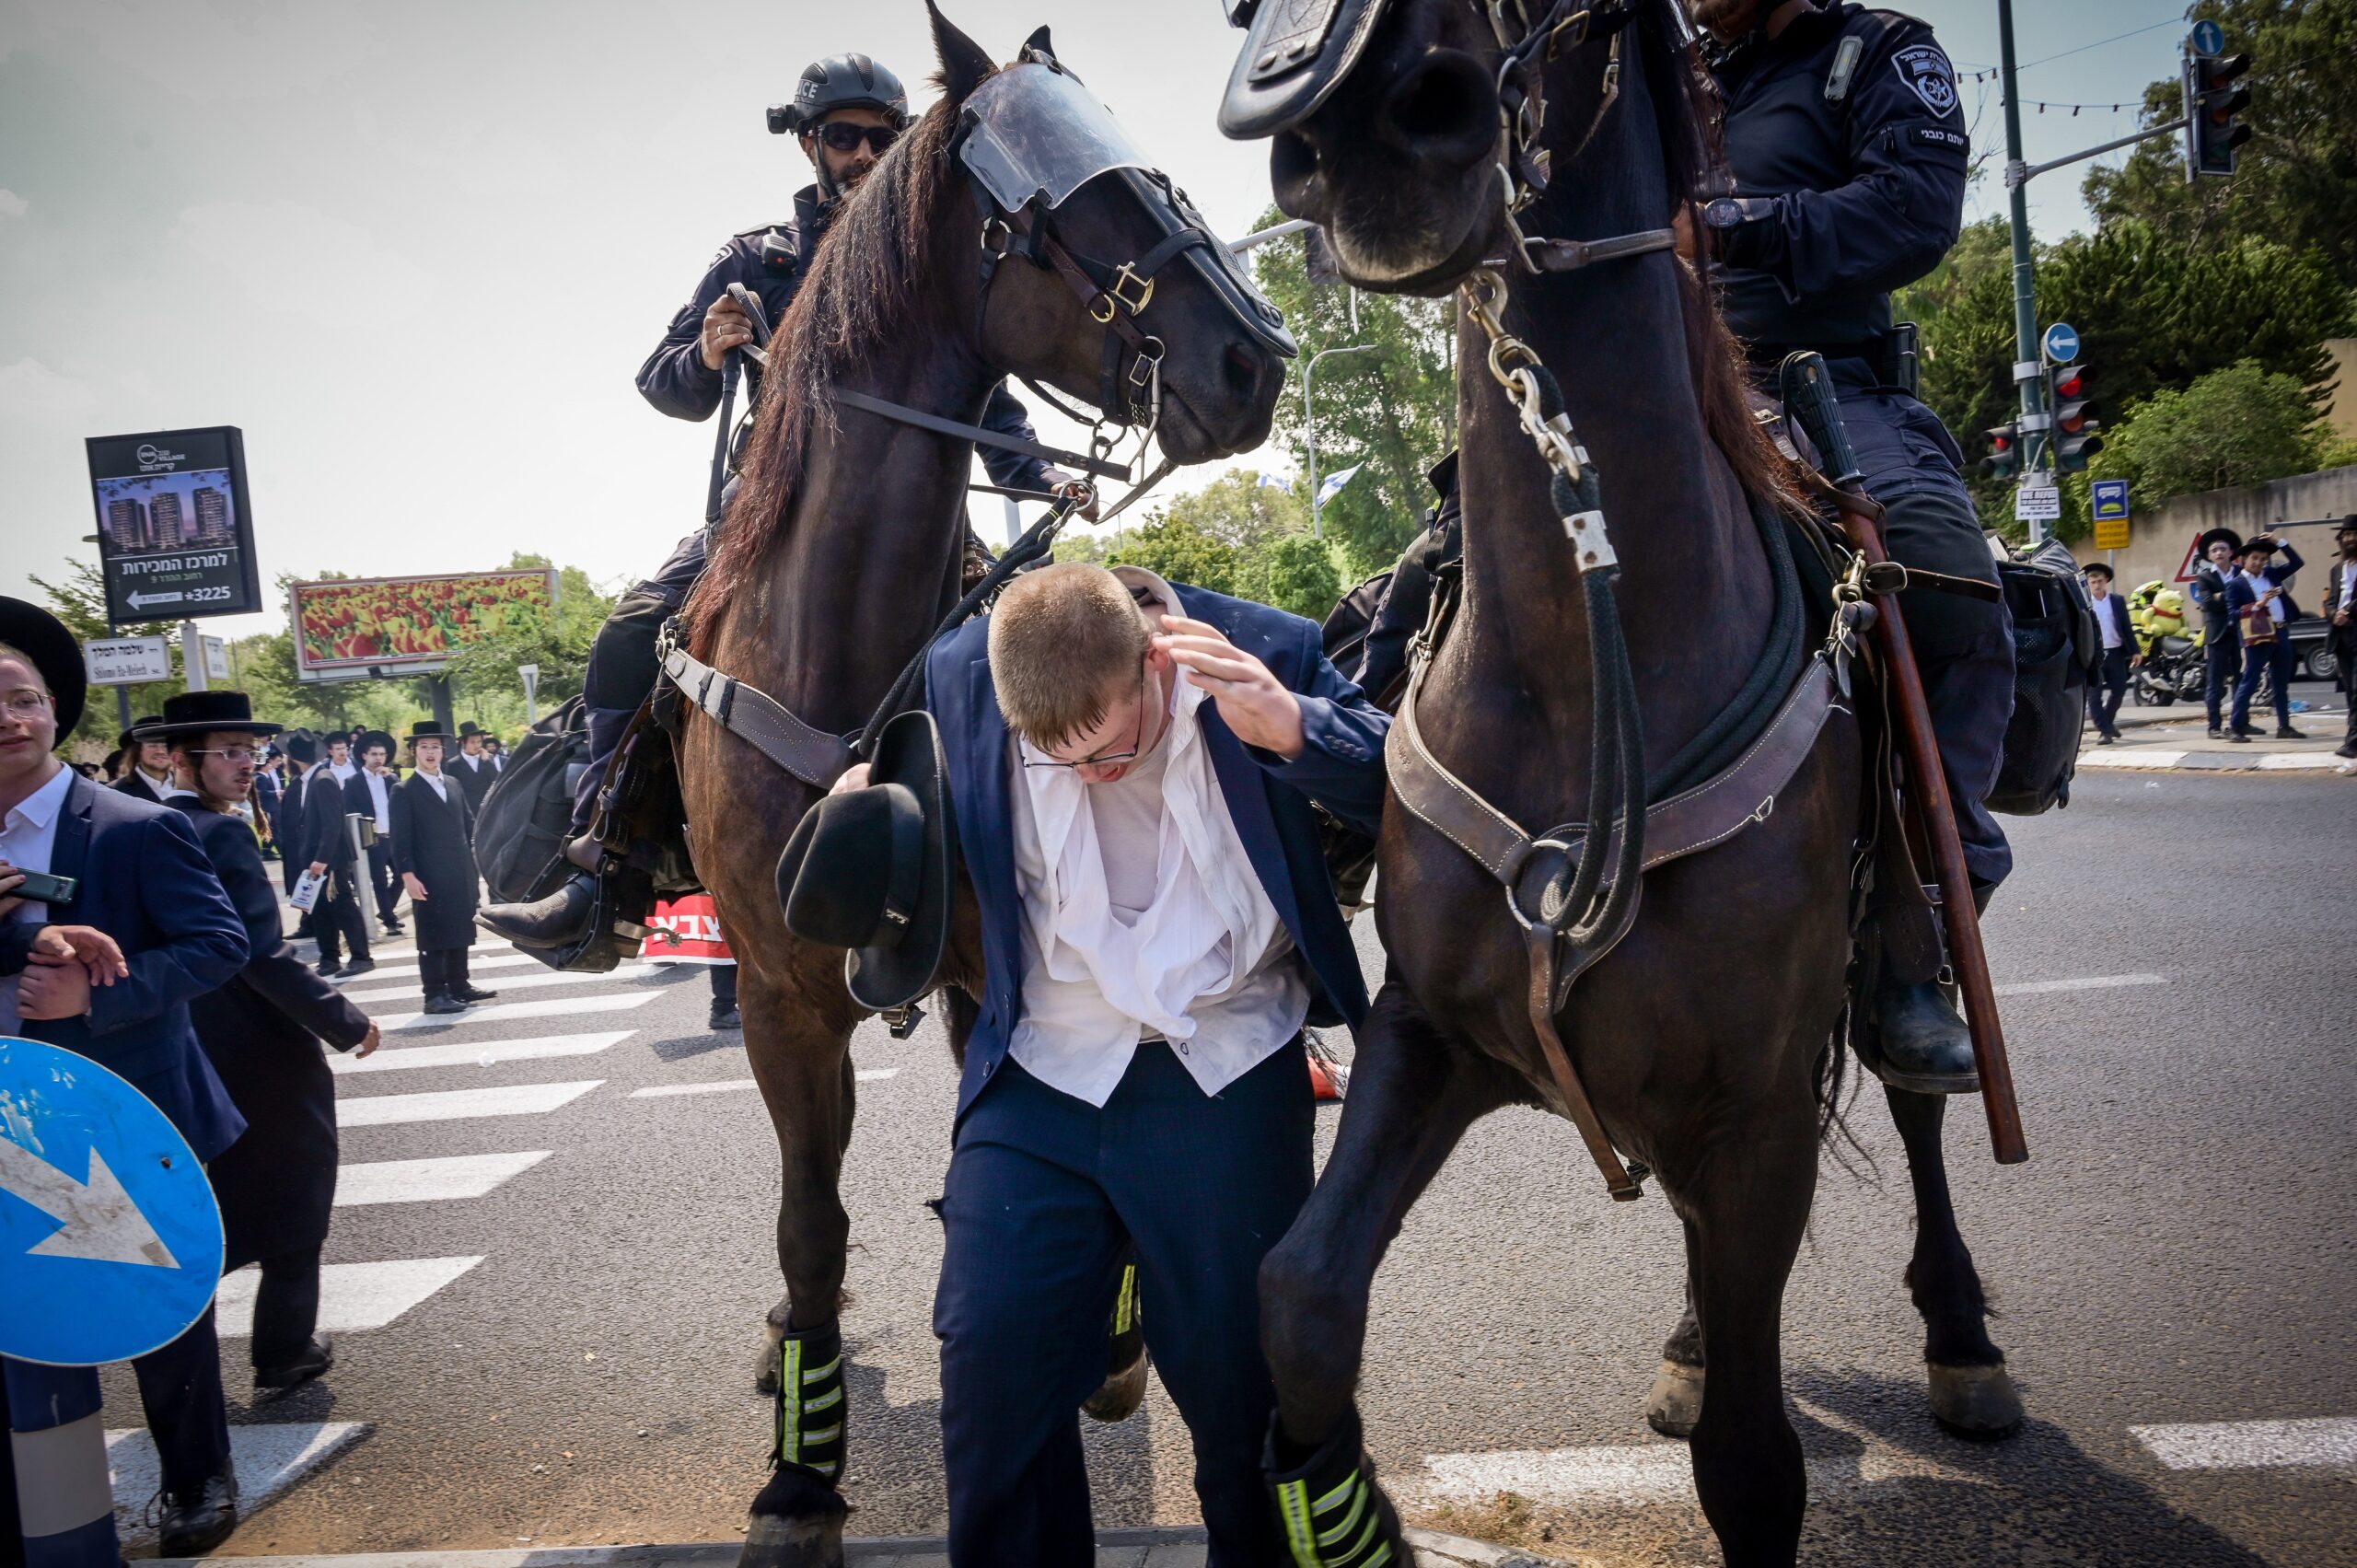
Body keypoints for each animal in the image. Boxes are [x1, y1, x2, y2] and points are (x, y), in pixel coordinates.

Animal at [674, 6, 1282, 1556]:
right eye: (1064, 201)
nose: (1257, 361)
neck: (845, 652)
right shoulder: (778, 996)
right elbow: (809, 1221)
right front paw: (800, 1471)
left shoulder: (987, 957)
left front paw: (1108, 1338)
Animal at [1225, 3, 2017, 1565]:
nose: (1377, 134)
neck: (1585, 672)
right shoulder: (1431, 1036)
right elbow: (1301, 1293)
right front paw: (1350, 1510)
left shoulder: (1759, 1108)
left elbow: (1754, 1463)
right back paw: (1699, 1338)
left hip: (1882, 959)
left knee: (1914, 1092)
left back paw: (1961, 1333)